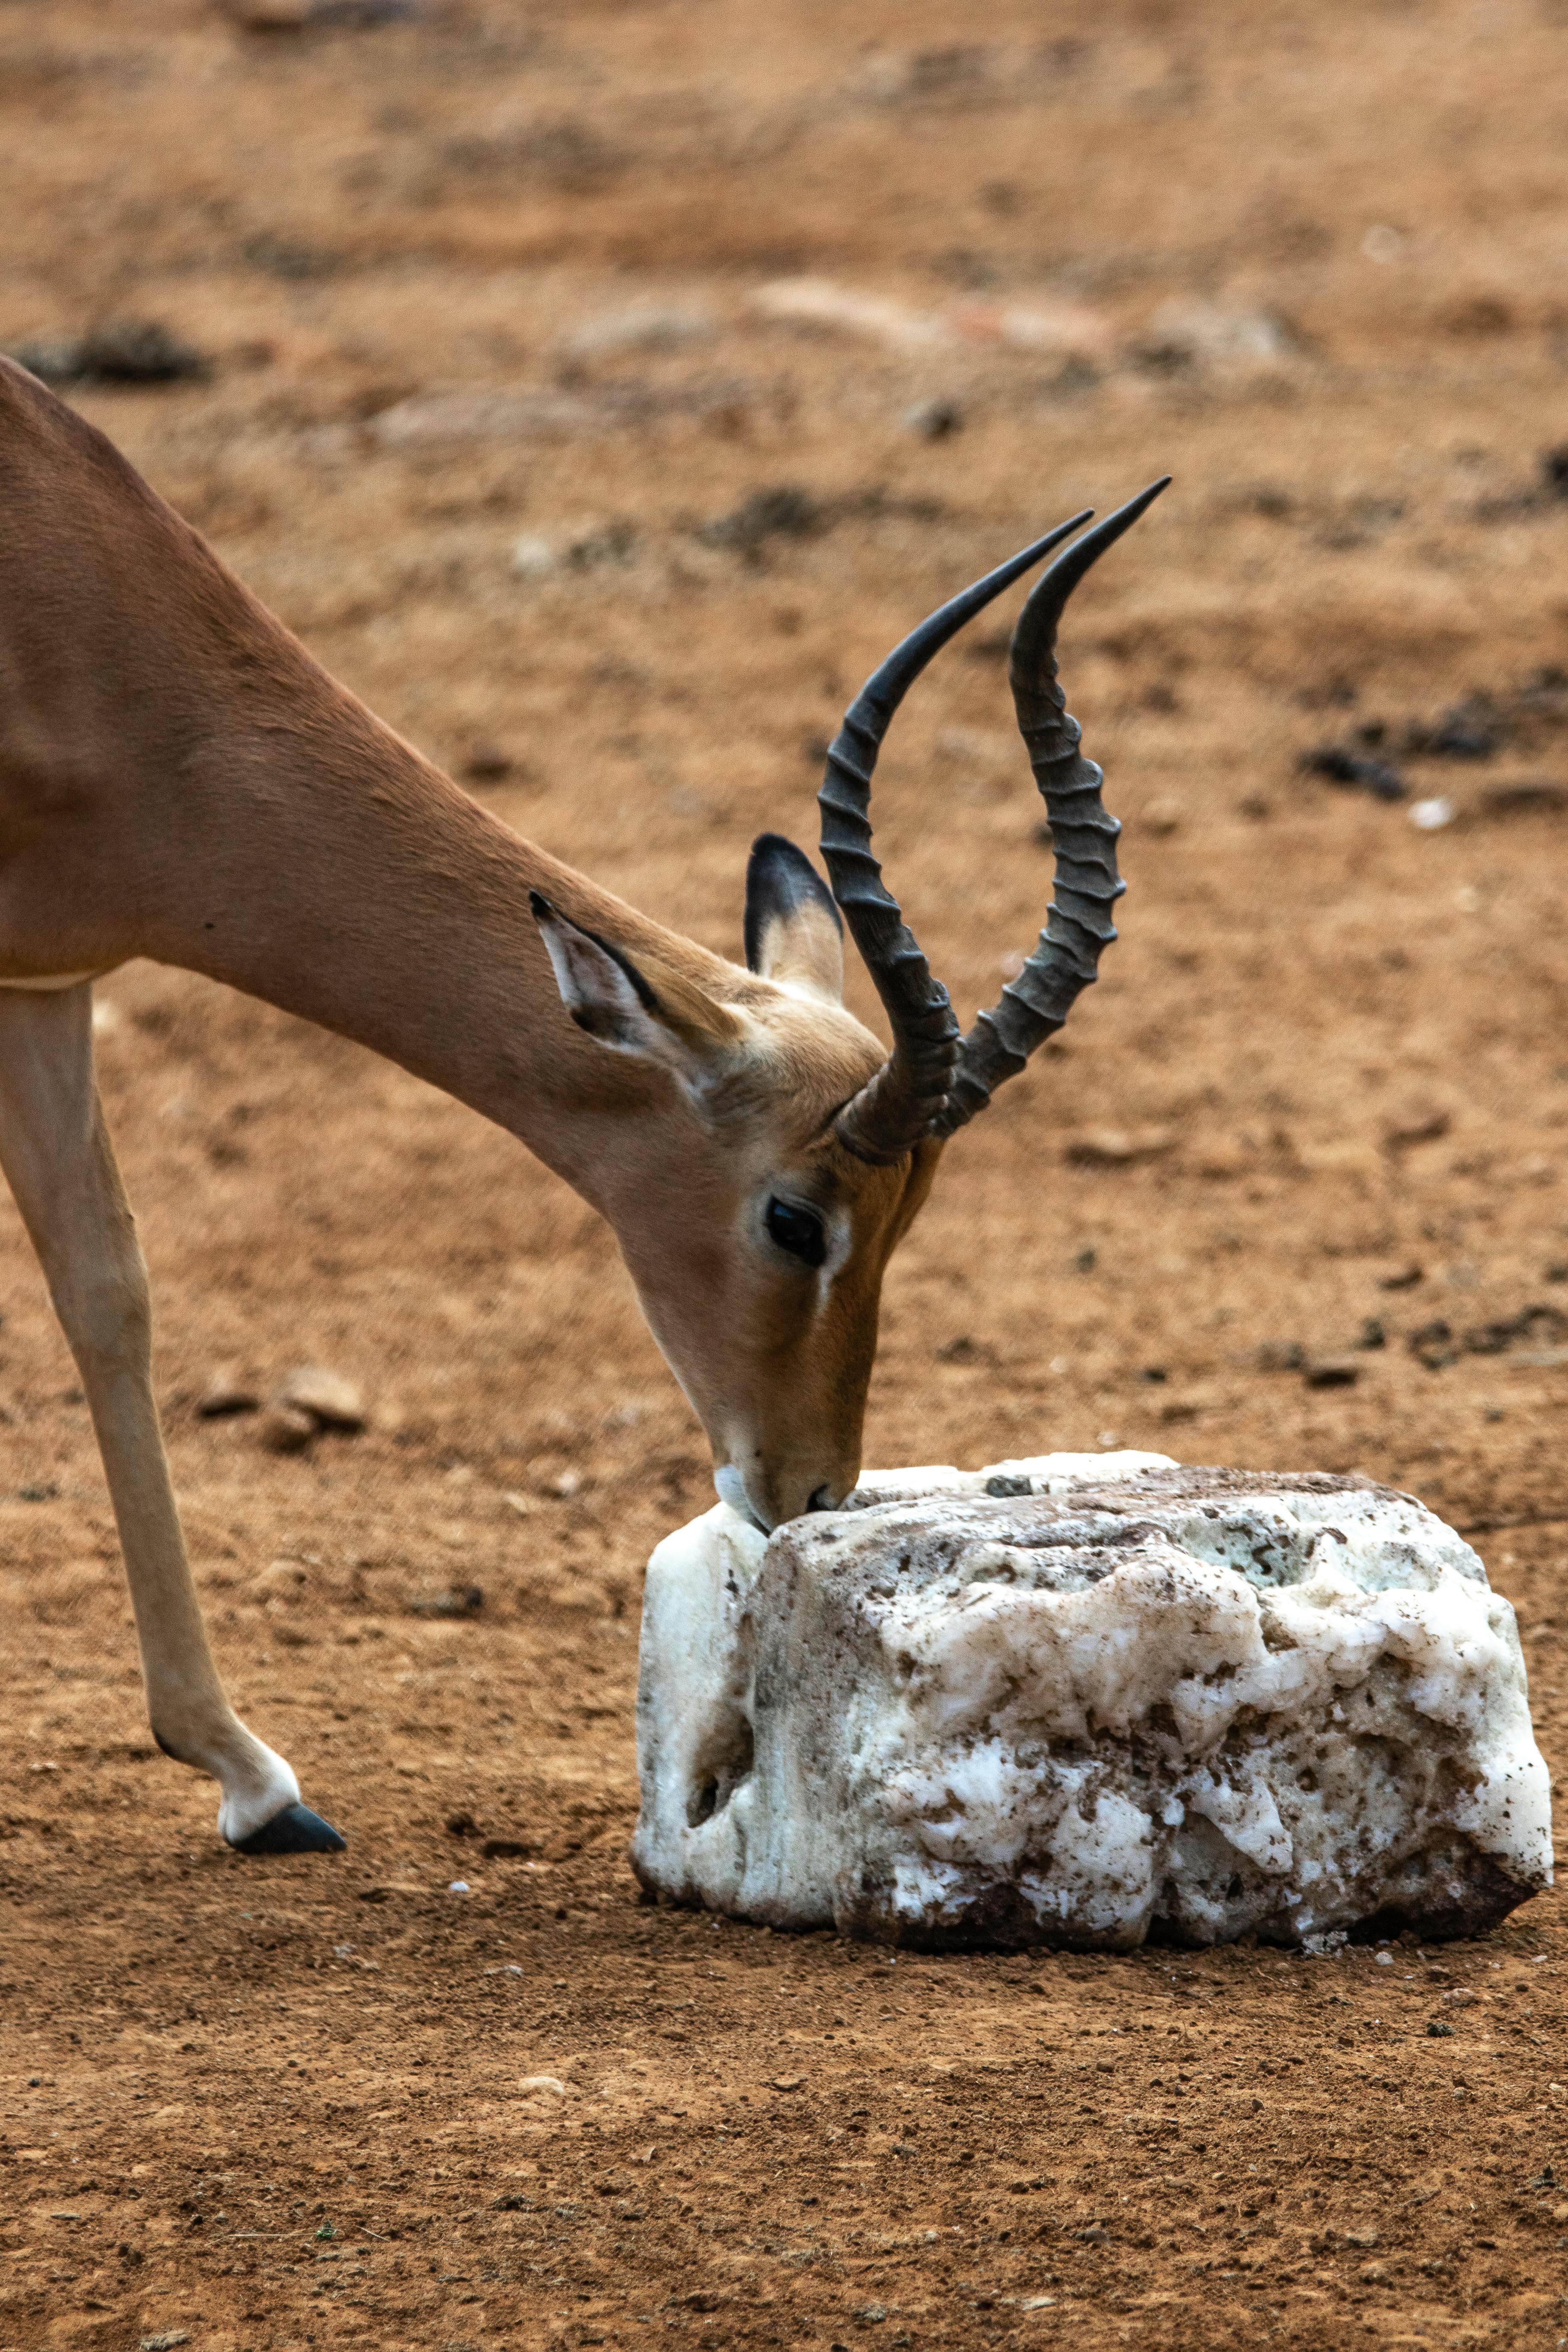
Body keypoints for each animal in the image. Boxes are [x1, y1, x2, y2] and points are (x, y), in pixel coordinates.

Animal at [0, 353, 1166, 1855]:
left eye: (908, 1224)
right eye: (796, 1221)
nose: (809, 1492)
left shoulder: (46, 978)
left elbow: (107, 1295)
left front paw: (254, 1781)